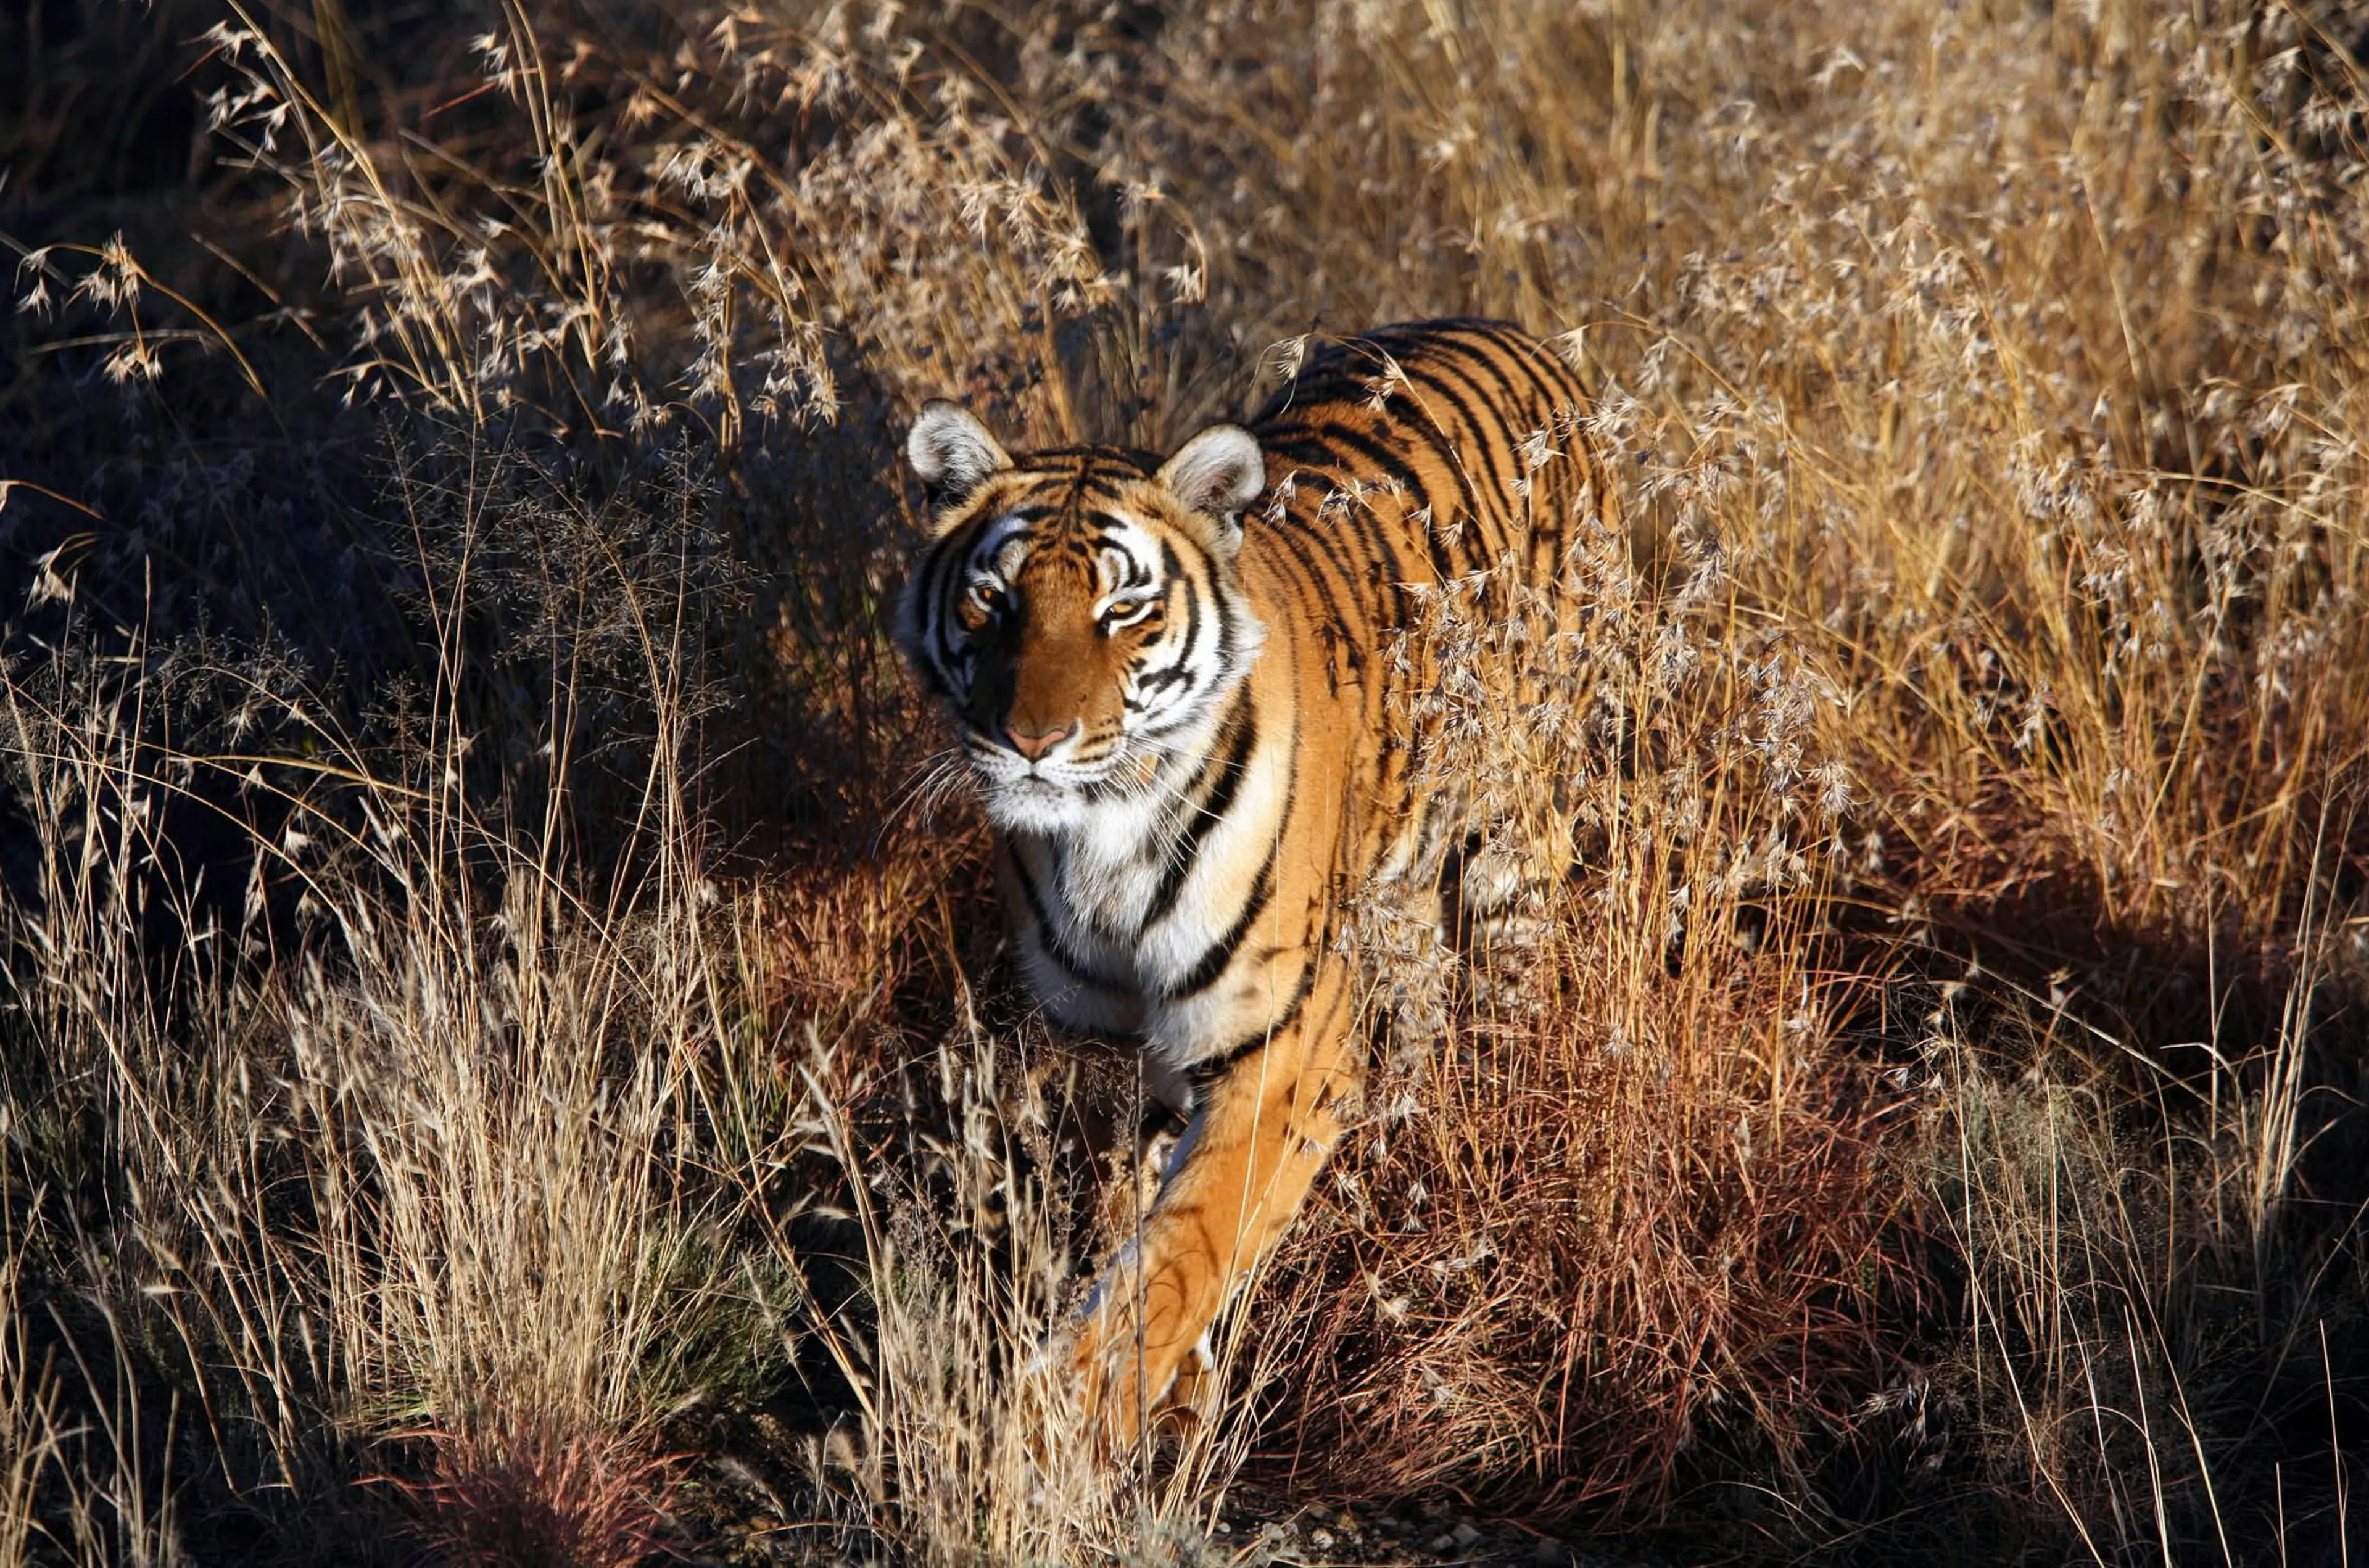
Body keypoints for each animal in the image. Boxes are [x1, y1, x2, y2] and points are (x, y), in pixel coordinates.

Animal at [895, 318, 1616, 1448]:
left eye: (1122, 609)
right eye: (994, 598)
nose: (1032, 742)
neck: (1101, 843)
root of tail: (1513, 332)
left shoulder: (1285, 1048)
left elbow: (1181, 1252)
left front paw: (1061, 1427)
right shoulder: (1112, 1048)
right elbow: (1138, 1215)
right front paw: (1167, 1397)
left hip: (1515, 832)